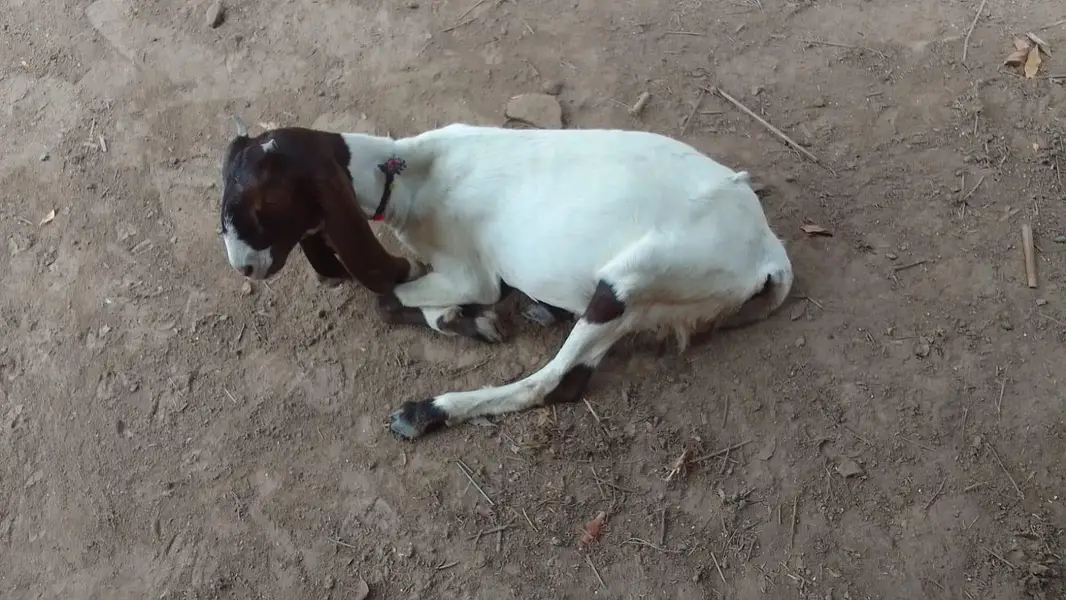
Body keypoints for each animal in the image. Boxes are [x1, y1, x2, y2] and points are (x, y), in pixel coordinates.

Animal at [219, 119, 794, 441]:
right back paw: (544, 308)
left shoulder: (469, 273)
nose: (243, 266)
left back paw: (427, 412)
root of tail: (769, 254)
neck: (411, 171)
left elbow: (390, 299)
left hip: (637, 278)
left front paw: (470, 321)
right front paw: (467, 320)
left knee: (556, 382)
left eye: (266, 203)